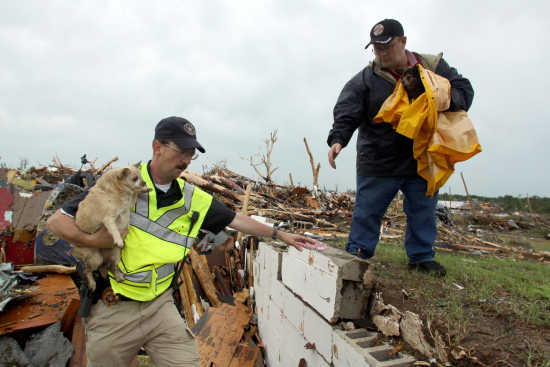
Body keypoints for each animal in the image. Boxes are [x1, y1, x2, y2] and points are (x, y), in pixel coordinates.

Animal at [70, 164, 151, 294]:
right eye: (134, 178)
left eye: (141, 177)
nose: (144, 182)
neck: (120, 191)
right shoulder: (109, 218)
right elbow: (114, 229)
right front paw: (118, 239)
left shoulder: (128, 204)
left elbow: (135, 192)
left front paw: (146, 189)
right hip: (95, 258)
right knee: (88, 270)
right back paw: (92, 283)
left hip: (115, 255)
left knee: (109, 267)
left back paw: (117, 276)